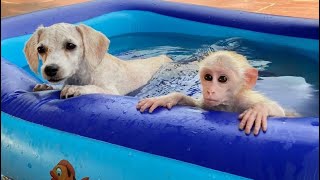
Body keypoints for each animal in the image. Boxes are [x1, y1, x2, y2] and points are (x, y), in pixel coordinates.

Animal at [24, 23, 172, 98]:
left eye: (70, 45)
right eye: (40, 49)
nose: (50, 69)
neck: (82, 75)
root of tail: (165, 56)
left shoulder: (112, 92)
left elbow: (94, 88)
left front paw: (76, 89)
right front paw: (47, 86)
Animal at [136, 50, 286, 135]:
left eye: (222, 79)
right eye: (208, 77)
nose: (210, 90)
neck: (227, 105)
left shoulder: (245, 100)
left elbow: (281, 113)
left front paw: (259, 110)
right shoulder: (207, 103)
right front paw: (168, 98)